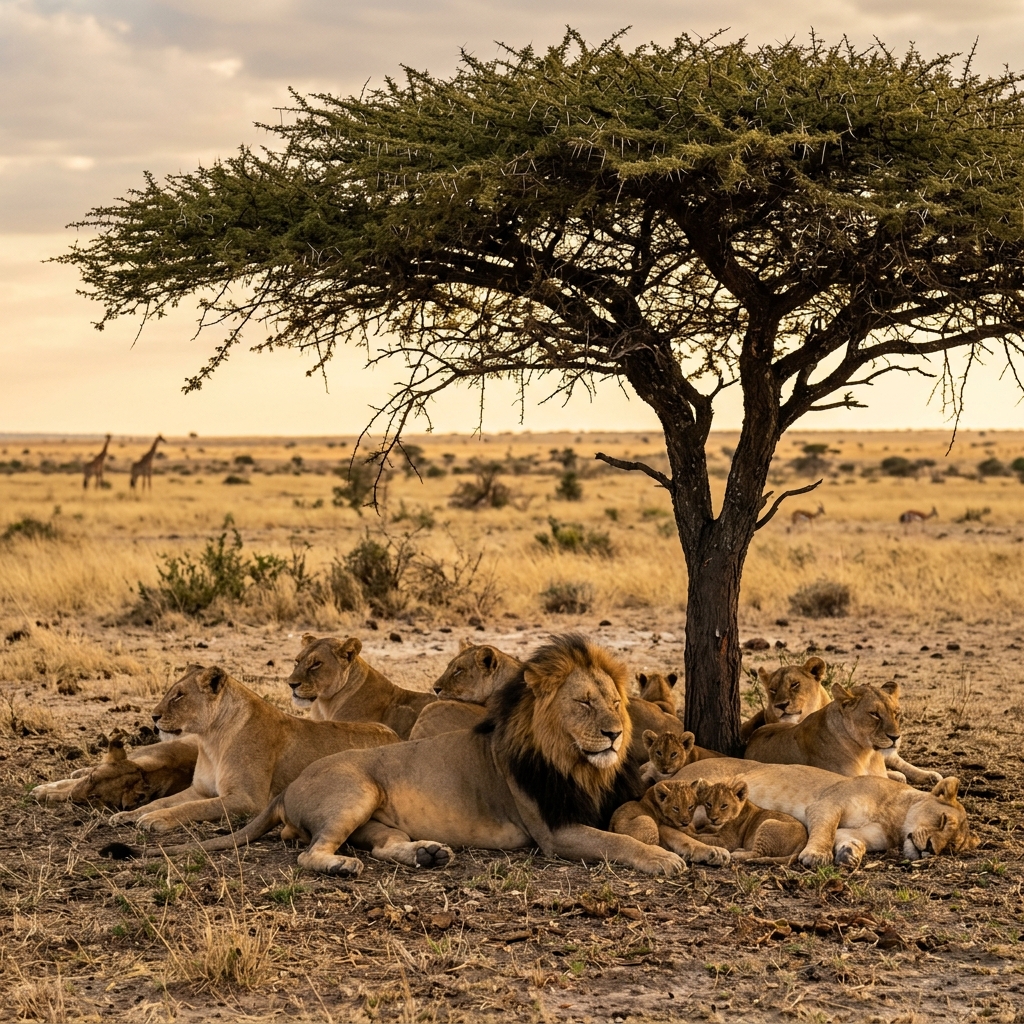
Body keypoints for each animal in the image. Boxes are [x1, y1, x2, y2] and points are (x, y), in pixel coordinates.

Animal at [33, 732, 198, 811]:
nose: (74, 797)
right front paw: (44, 789)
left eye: (94, 798)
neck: (145, 774)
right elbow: (71, 783)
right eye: (91, 778)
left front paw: (47, 793)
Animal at [106, 665, 399, 832]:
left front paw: (155, 819)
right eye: (171, 692)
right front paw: (128, 815)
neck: (211, 741)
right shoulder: (200, 790)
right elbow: (164, 801)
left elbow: (193, 809)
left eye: (179, 696)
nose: (153, 717)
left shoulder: (247, 800)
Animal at [672, 757, 976, 869]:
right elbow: (824, 830)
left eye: (951, 847)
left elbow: (847, 838)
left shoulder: (862, 832)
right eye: (942, 820)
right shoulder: (827, 804)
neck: (895, 820)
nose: (932, 849)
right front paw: (817, 855)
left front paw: (850, 854)